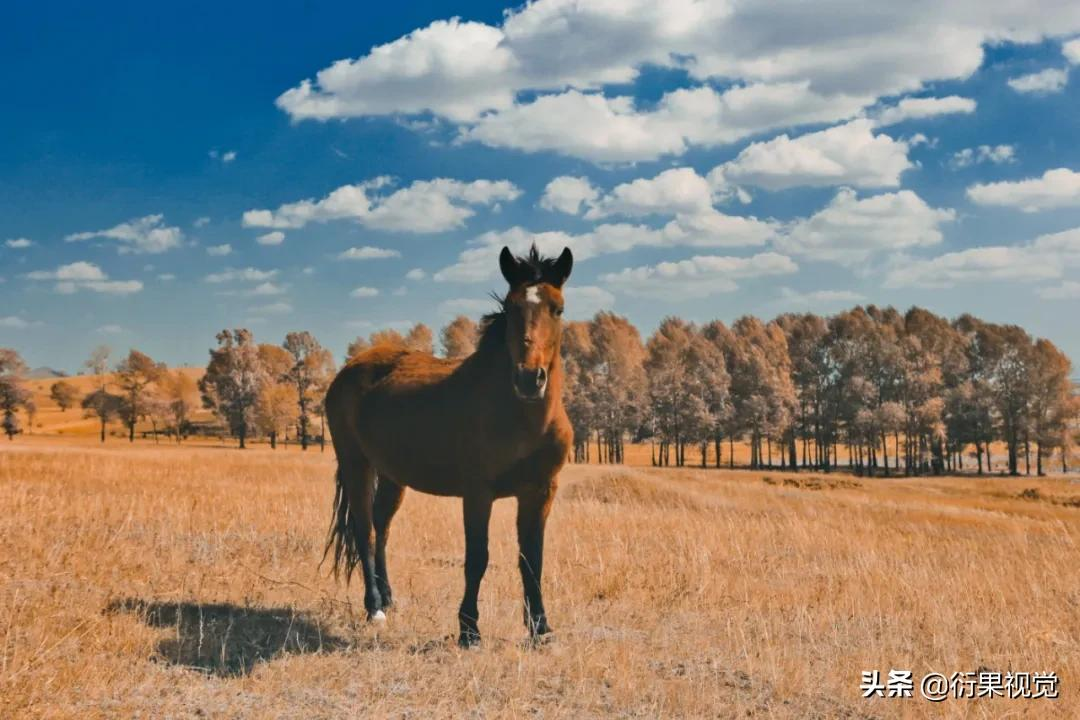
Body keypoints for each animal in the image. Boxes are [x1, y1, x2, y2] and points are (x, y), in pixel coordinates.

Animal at [319, 243, 574, 647]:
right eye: (512, 308)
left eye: (558, 309)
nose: (529, 379)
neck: (523, 419)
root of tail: (349, 370)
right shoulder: (478, 493)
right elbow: (477, 558)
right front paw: (469, 630)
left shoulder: (541, 491)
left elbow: (532, 560)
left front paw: (541, 629)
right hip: (355, 463)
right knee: (364, 530)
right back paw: (374, 608)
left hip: (391, 475)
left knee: (381, 527)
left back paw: (387, 597)